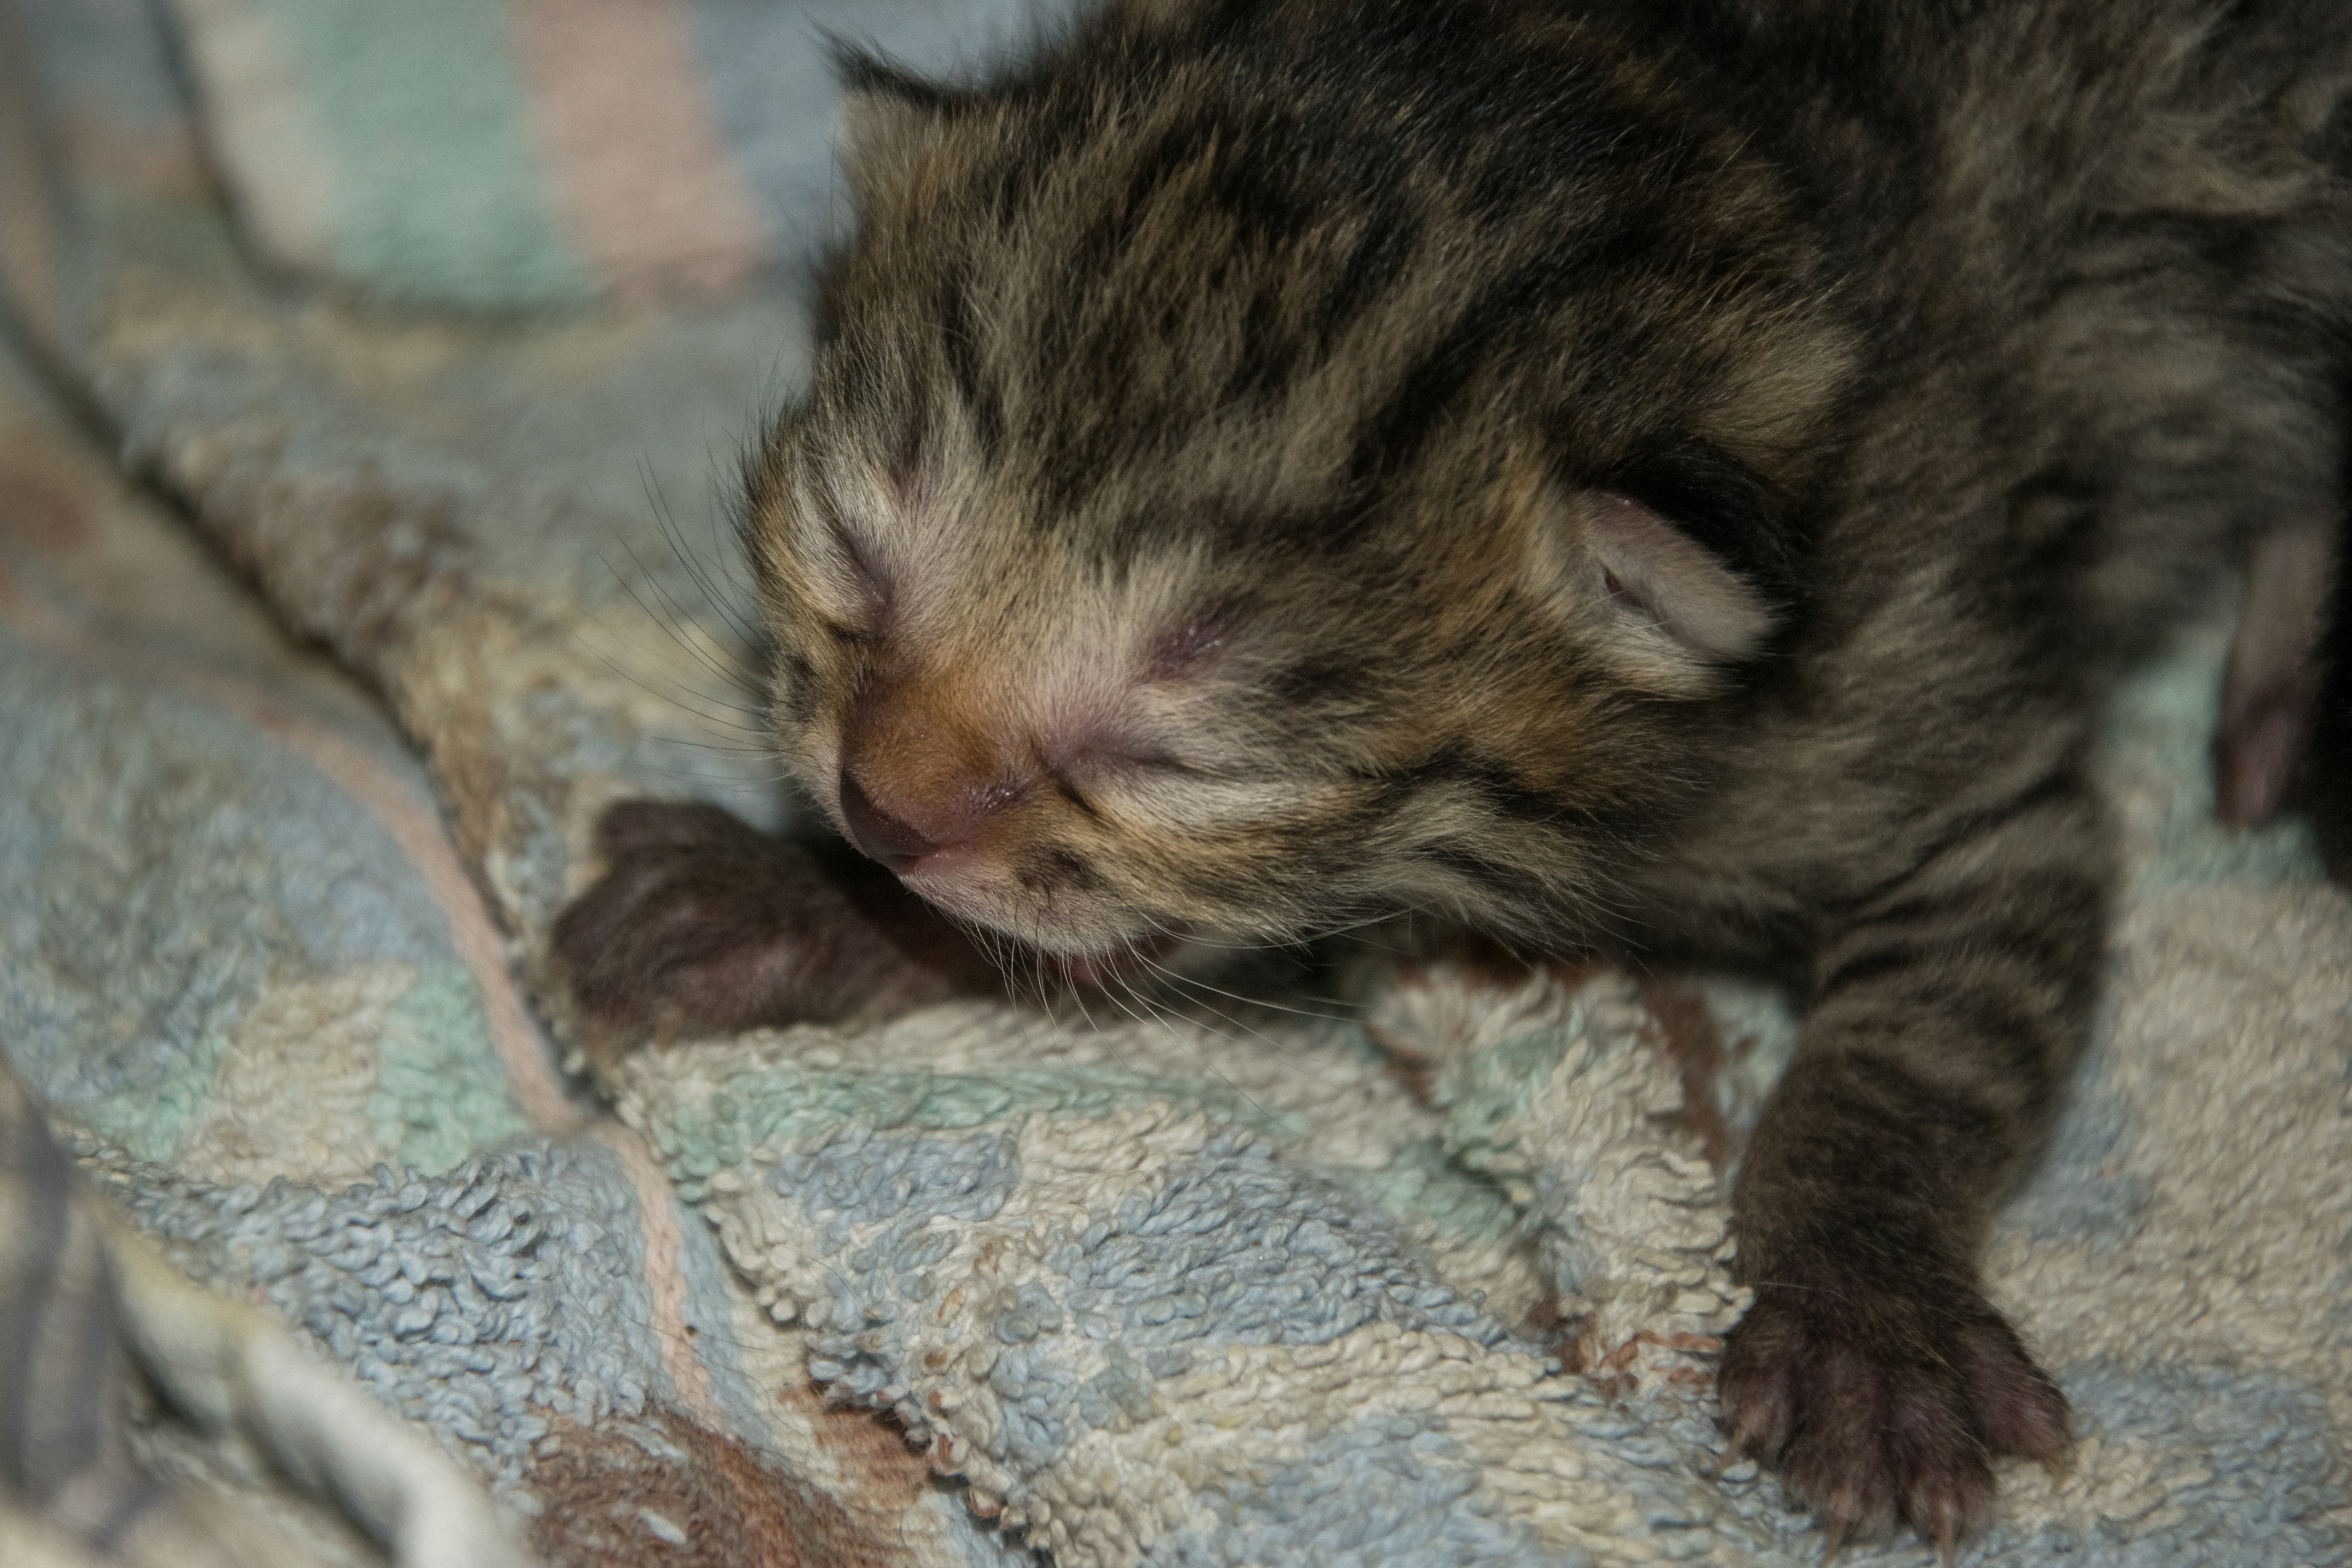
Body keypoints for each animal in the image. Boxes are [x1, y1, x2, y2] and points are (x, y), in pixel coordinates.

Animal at [564, 0, 2352, 1542]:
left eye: (1171, 750)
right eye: (854, 555)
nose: (878, 810)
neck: (1711, 125)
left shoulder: (1941, 729)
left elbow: (1916, 1050)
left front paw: (1862, 1316)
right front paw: (784, 901)